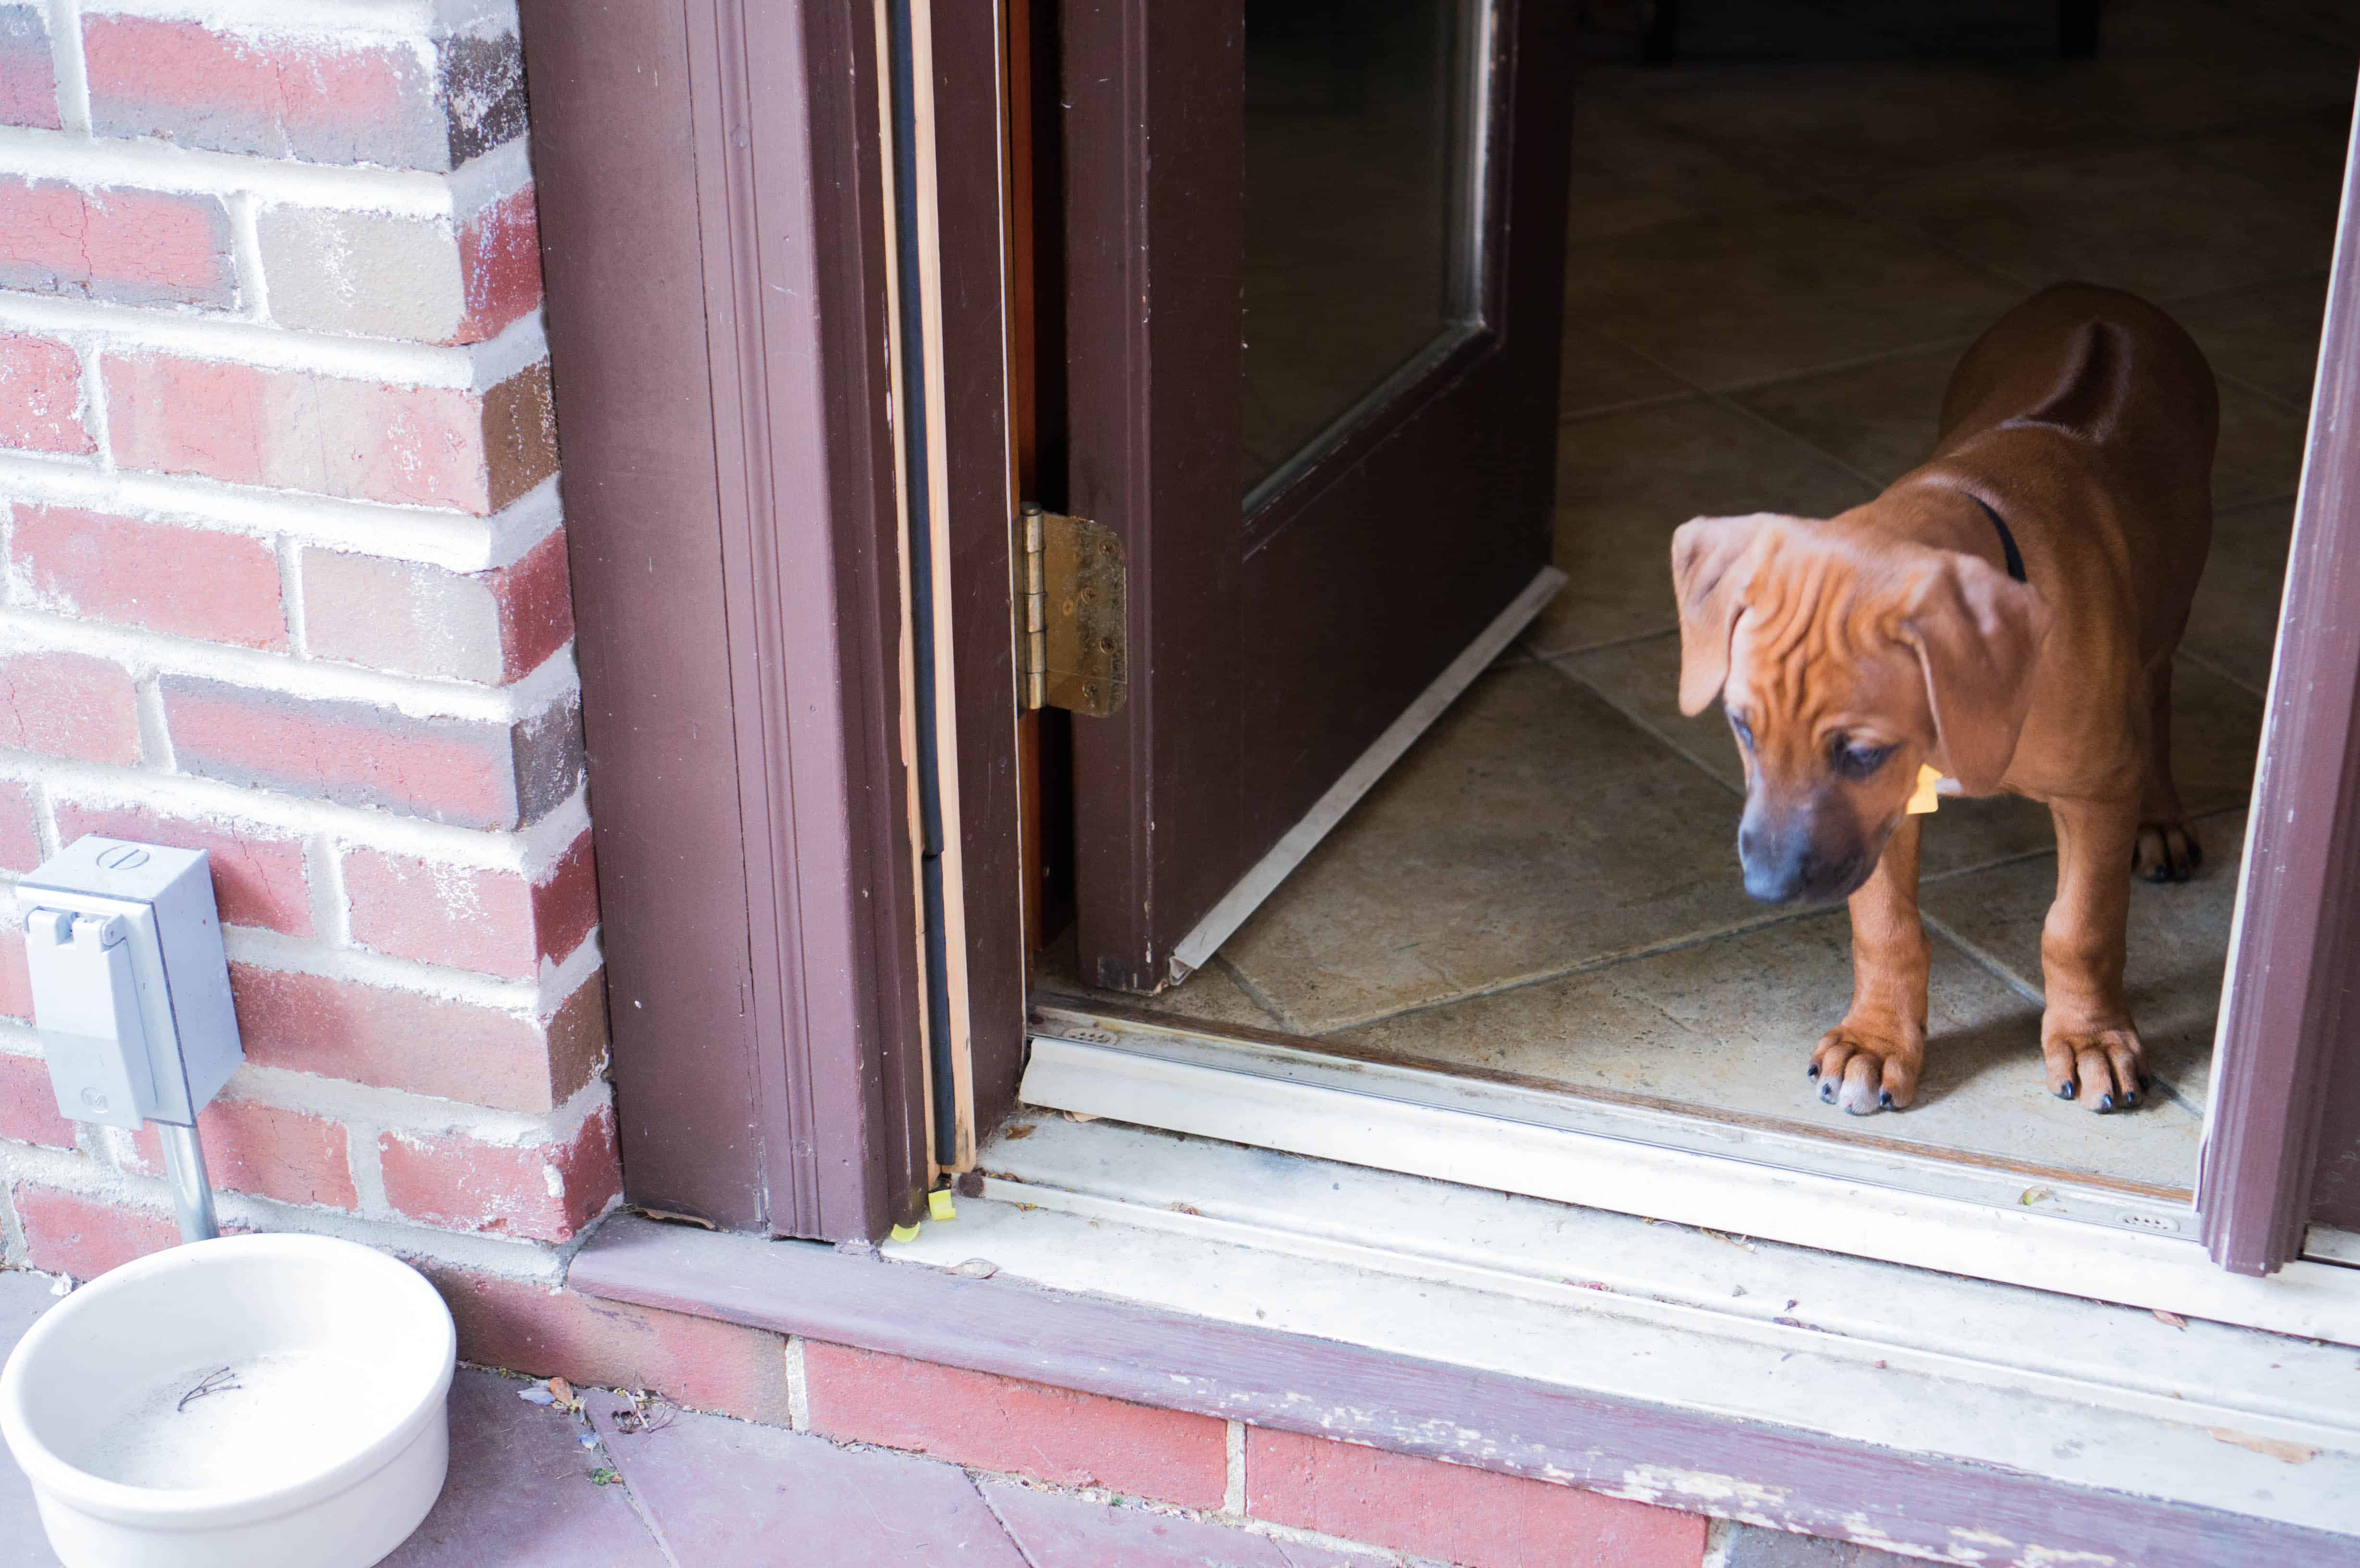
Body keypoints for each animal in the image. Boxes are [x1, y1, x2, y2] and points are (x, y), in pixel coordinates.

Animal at [1680, 282, 2209, 1115]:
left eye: (1862, 751)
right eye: (1741, 726)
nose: (1767, 889)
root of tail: (2099, 294)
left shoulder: (2094, 793)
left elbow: (2080, 926)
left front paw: (2091, 1038)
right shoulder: (1878, 820)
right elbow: (1885, 925)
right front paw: (1875, 1042)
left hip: (2170, 602)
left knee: (2154, 694)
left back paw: (2159, 816)